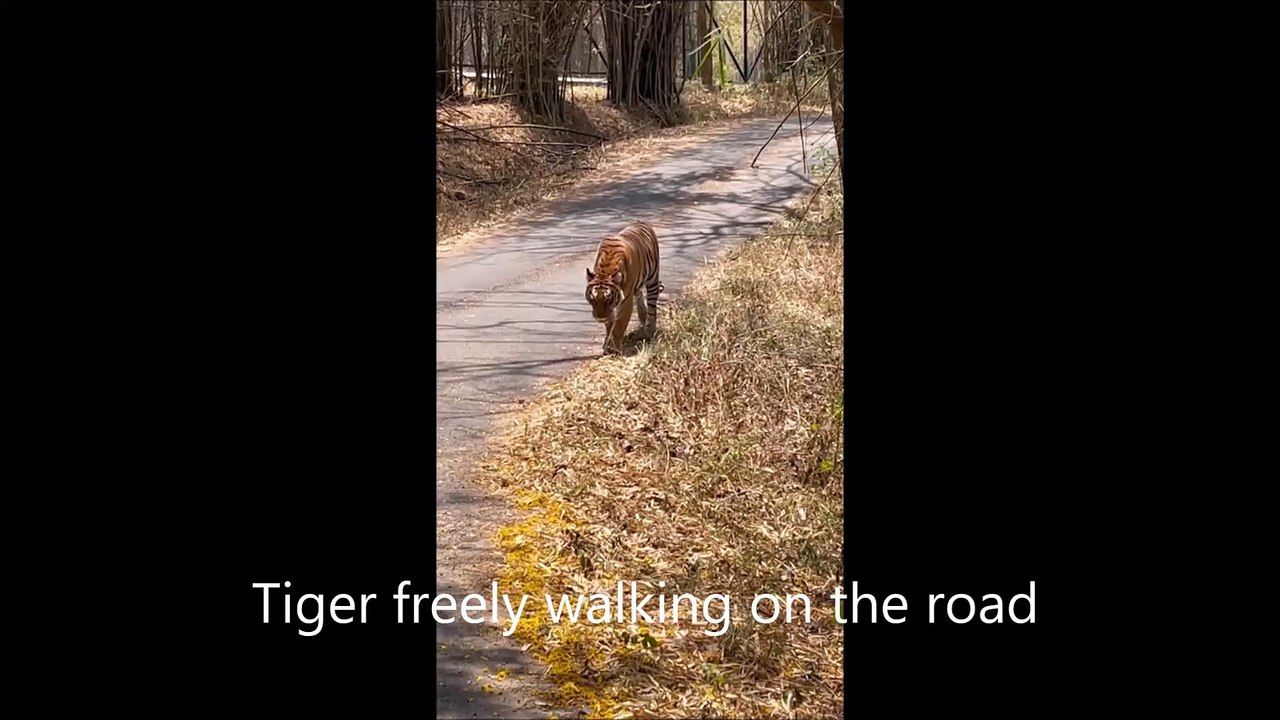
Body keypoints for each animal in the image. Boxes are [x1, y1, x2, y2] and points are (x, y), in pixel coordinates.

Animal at [584, 221, 664, 355]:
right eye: (593, 299)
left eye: (608, 299)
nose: (600, 318)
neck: (605, 271)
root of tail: (641, 222)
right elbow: (610, 324)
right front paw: (608, 345)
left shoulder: (626, 299)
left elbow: (619, 325)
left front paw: (615, 349)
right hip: (637, 287)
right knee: (641, 301)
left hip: (652, 279)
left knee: (652, 308)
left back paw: (649, 332)